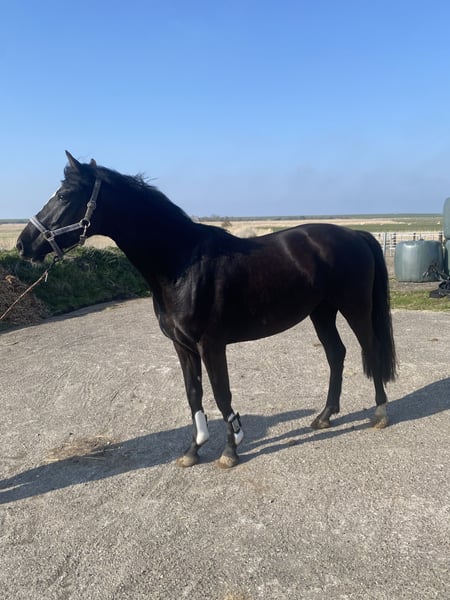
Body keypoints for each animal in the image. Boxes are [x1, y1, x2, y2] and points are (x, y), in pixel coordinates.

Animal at [17, 151, 397, 468]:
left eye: (64, 195)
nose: (23, 244)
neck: (181, 262)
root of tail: (356, 235)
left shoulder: (211, 345)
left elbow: (221, 394)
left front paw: (230, 450)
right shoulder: (182, 346)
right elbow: (194, 394)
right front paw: (194, 449)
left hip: (354, 308)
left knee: (370, 348)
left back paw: (380, 413)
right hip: (321, 312)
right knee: (336, 354)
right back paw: (324, 416)